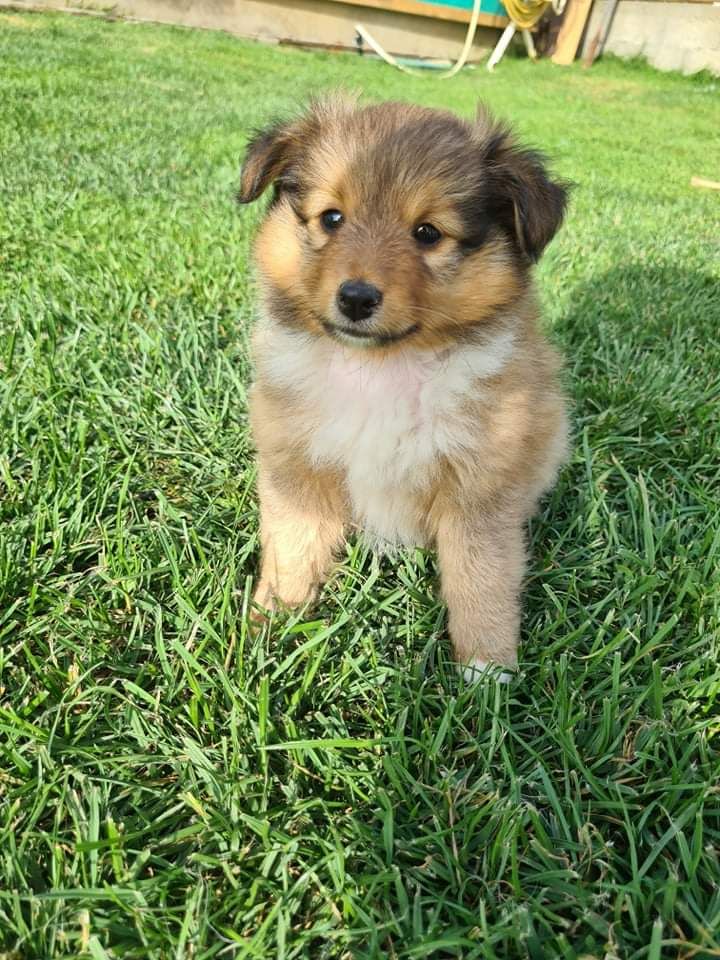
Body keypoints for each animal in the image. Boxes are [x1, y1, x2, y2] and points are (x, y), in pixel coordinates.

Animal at [239, 95, 572, 684]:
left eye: (428, 233)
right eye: (332, 218)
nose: (355, 298)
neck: (380, 368)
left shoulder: (478, 486)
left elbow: (480, 579)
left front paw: (486, 671)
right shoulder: (296, 465)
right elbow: (293, 550)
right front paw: (271, 627)